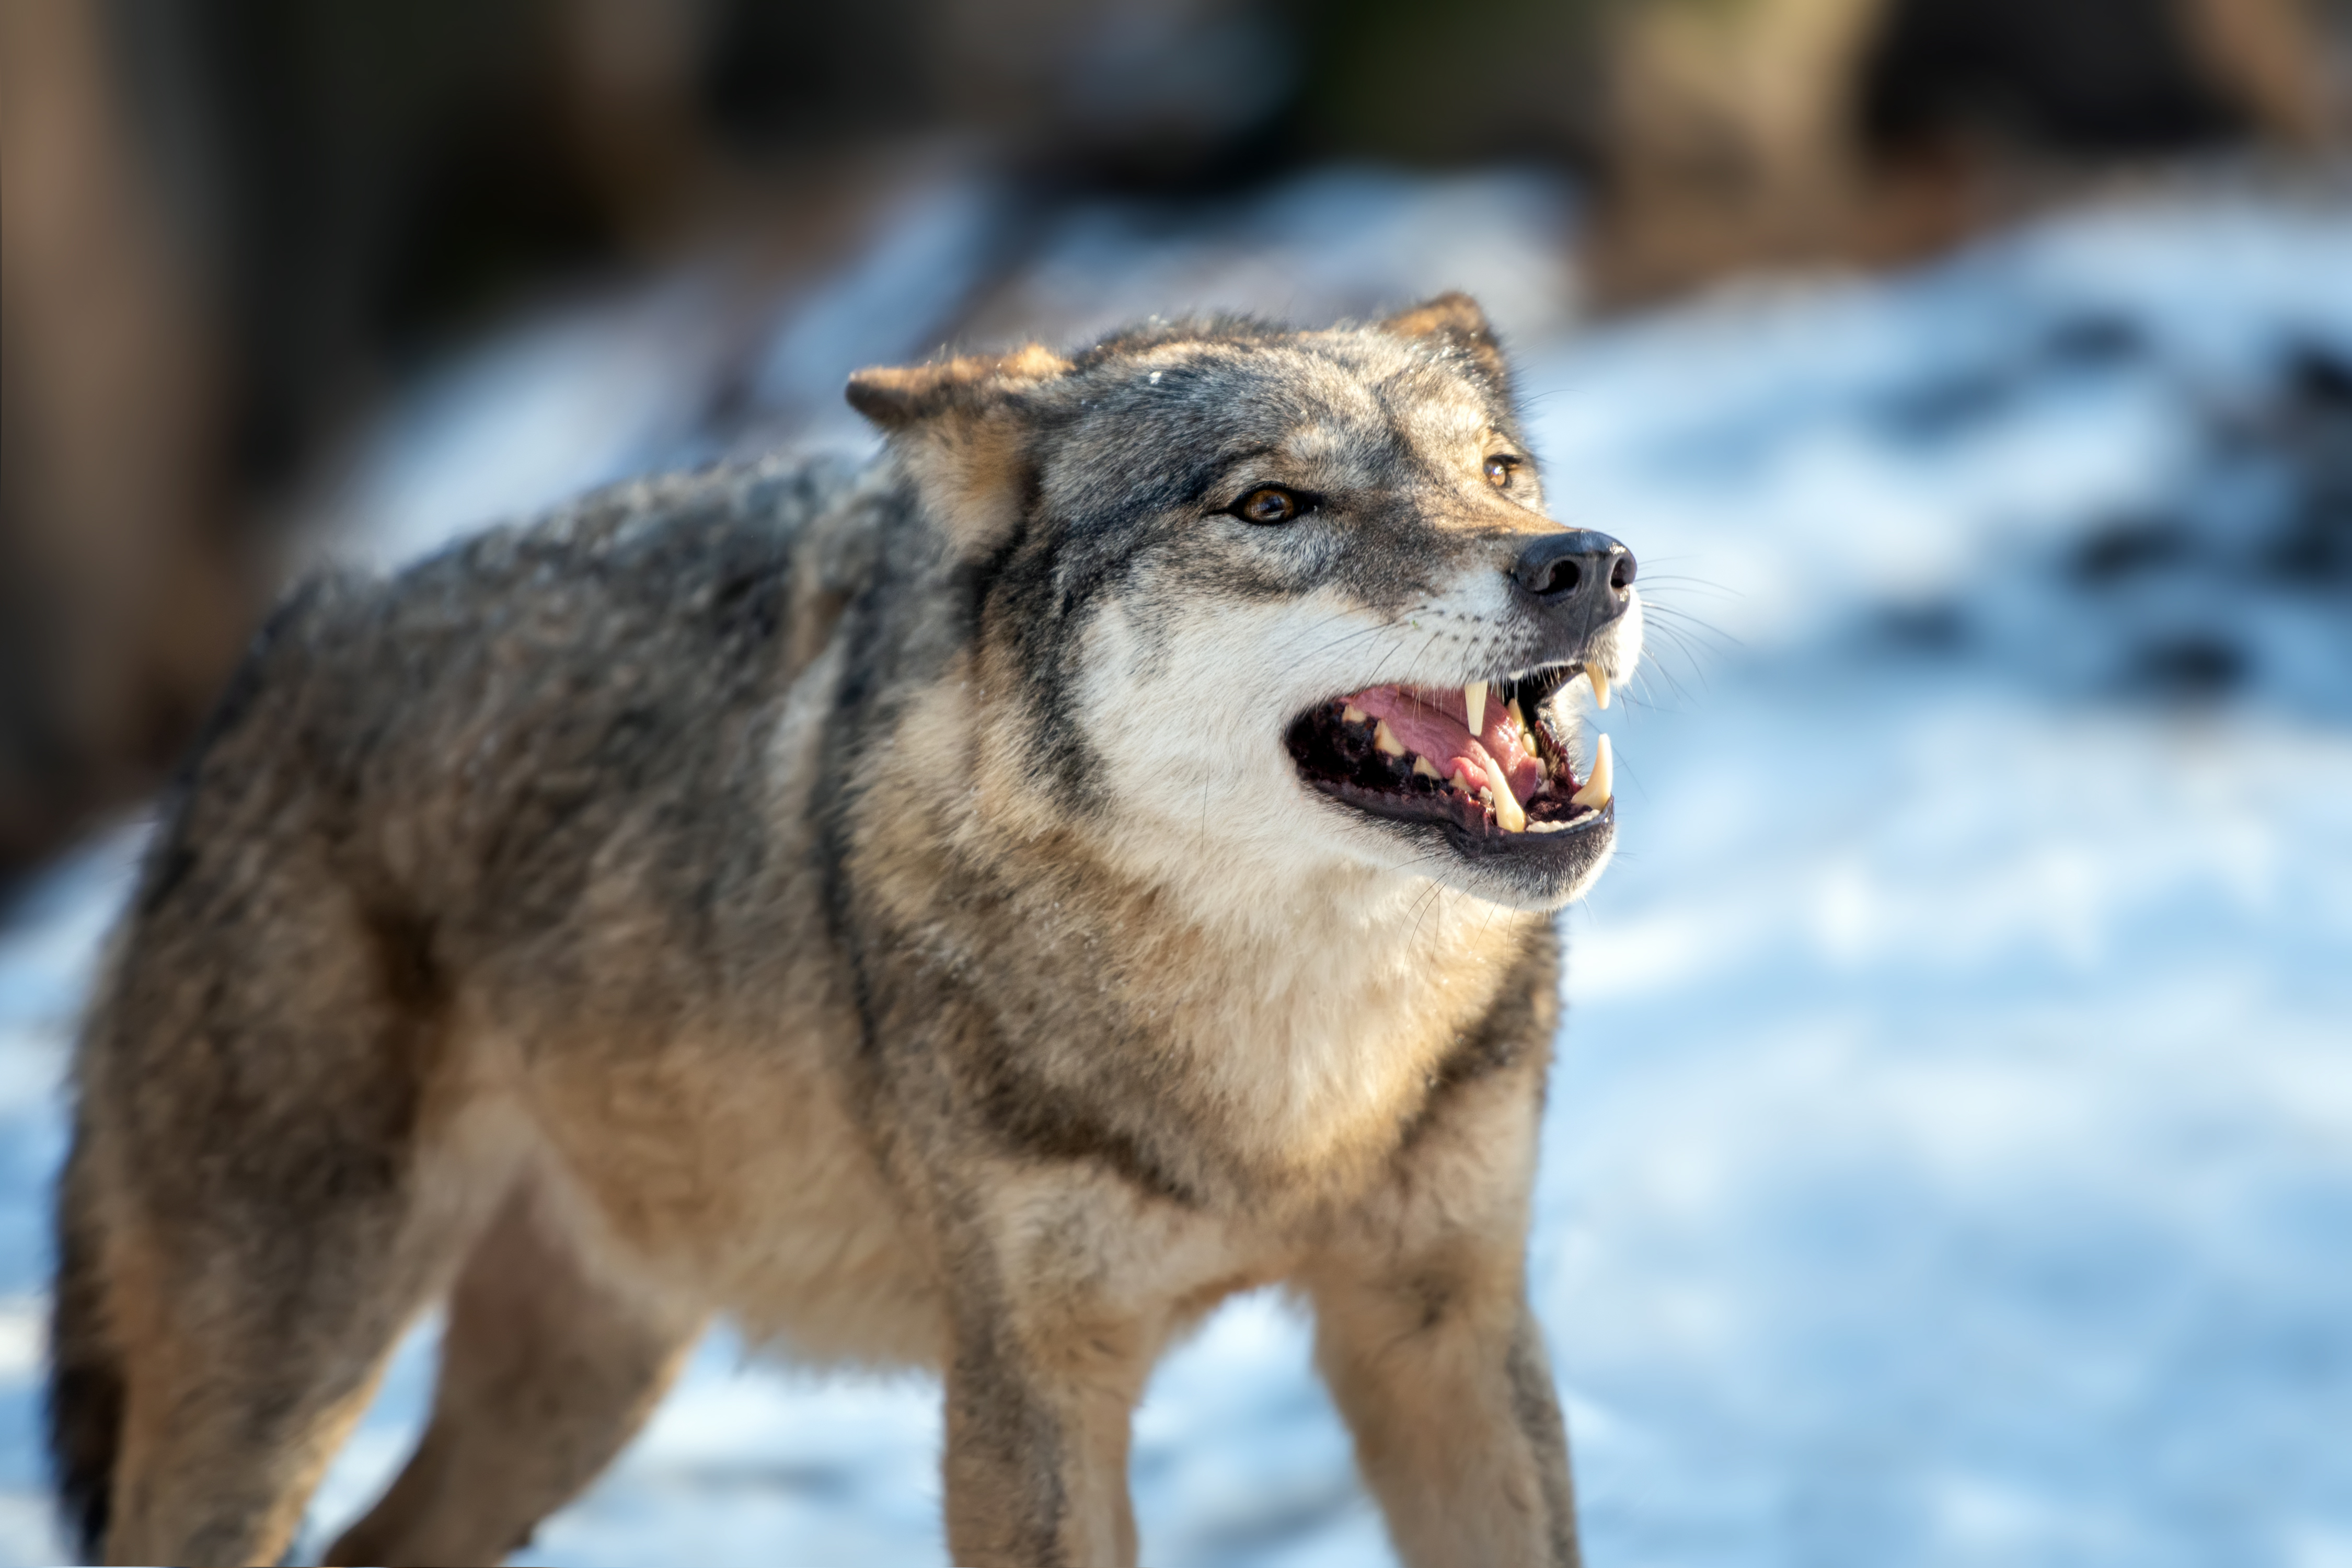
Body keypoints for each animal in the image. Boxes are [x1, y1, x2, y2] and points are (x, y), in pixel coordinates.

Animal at [50, 297, 1637, 1568]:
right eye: (1271, 506)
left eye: (1496, 473)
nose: (1587, 562)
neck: (1291, 1090)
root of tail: (274, 660)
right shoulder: (1025, 1386)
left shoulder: (1446, 1332)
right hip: (288, 1377)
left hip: (580, 1382)